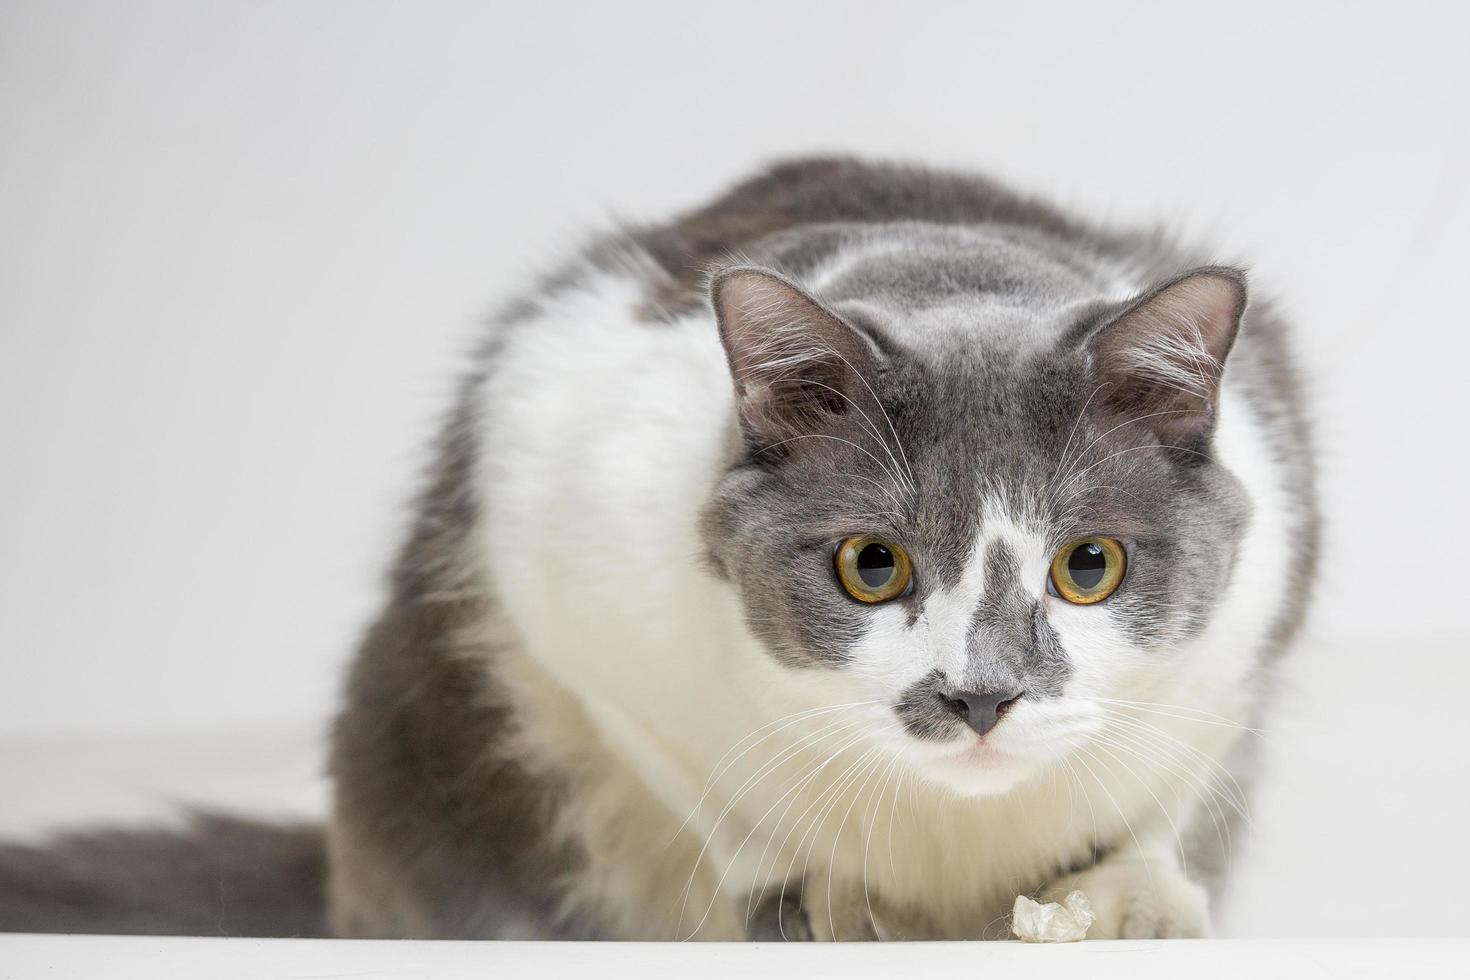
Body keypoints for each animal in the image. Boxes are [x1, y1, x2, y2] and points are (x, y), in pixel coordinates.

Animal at [0, 159, 1317, 940]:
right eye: (872, 565)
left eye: (1089, 564)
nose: (979, 696)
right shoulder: (558, 531)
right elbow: (698, 777)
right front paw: (827, 897)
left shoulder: (1261, 600)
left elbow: (1186, 776)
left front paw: (1130, 897)